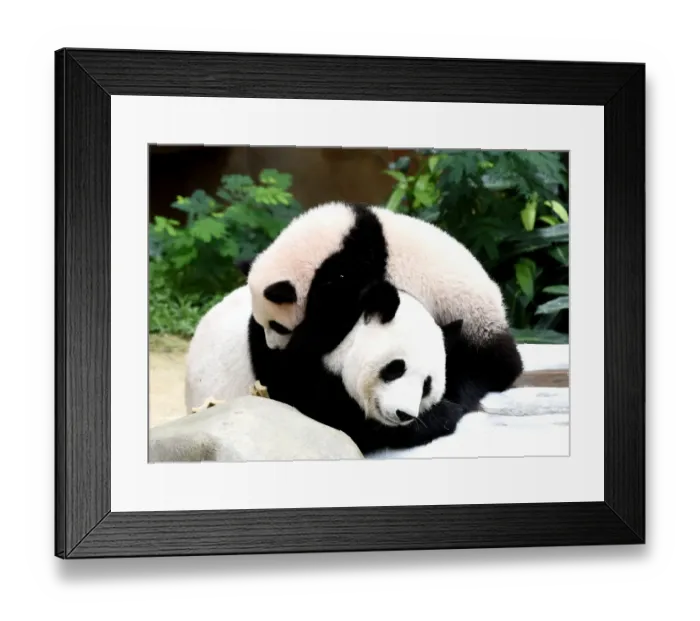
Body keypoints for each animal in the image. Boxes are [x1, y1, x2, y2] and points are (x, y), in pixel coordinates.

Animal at [245, 201, 524, 411]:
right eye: (267, 324)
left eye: (278, 326)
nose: (274, 346)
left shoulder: (354, 267)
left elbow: (330, 320)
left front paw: (298, 348)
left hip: (470, 315)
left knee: (487, 362)